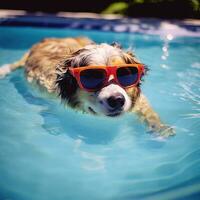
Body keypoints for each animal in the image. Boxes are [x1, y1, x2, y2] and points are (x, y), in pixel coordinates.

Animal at [0, 36, 174, 137]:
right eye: (92, 77)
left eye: (125, 73)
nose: (117, 100)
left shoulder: (137, 100)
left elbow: (146, 109)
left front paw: (160, 127)